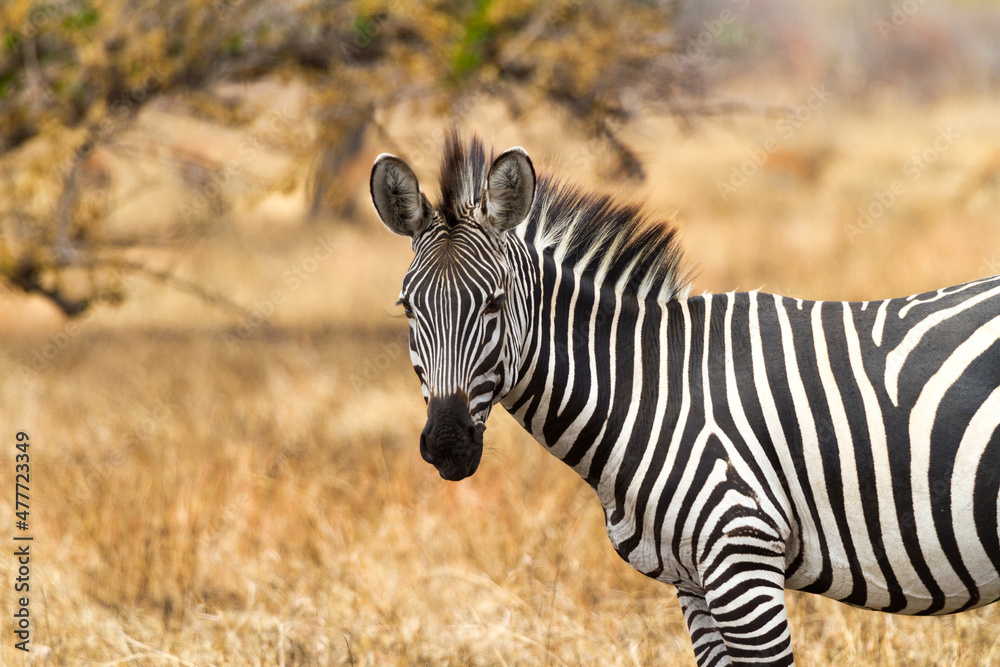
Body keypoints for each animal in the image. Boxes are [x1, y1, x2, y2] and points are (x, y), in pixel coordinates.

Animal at [370, 132, 1000, 665]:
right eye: (407, 309)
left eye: (495, 304)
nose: (447, 445)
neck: (652, 388)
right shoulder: (692, 582)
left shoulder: (742, 558)